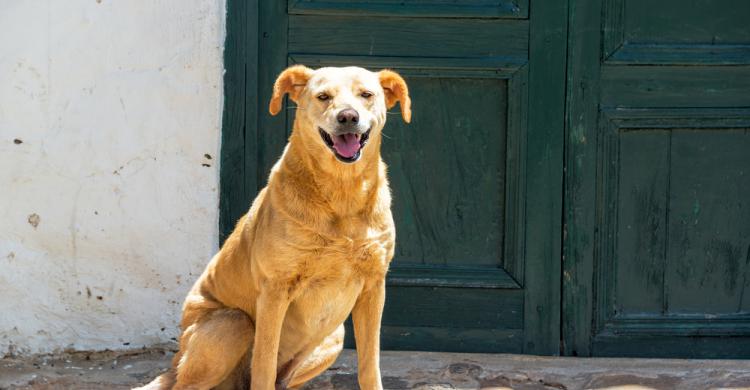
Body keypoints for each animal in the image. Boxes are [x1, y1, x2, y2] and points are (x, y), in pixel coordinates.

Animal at [138, 65, 414, 388]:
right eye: (323, 96)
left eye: (366, 95)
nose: (348, 117)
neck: (341, 191)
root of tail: (174, 365)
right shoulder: (275, 289)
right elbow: (264, 364)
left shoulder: (374, 285)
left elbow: (369, 365)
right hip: (232, 323)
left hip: (334, 334)